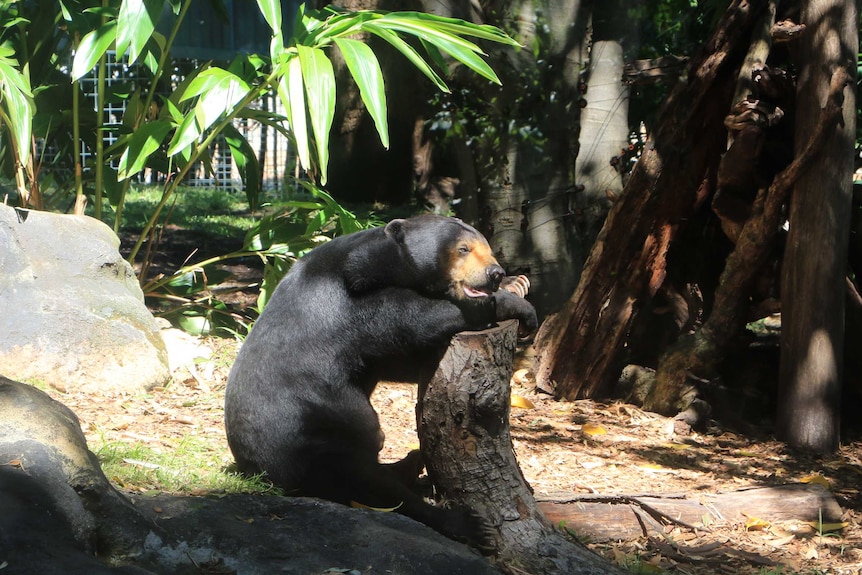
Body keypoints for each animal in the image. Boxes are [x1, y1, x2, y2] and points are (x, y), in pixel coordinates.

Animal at [224, 214, 532, 548]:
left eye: (487, 248)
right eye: (463, 249)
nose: (495, 273)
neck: (378, 265)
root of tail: (255, 470)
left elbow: (400, 360)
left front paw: (518, 284)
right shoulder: (351, 305)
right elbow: (416, 318)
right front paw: (516, 303)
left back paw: (412, 461)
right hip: (311, 435)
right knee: (368, 481)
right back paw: (464, 521)